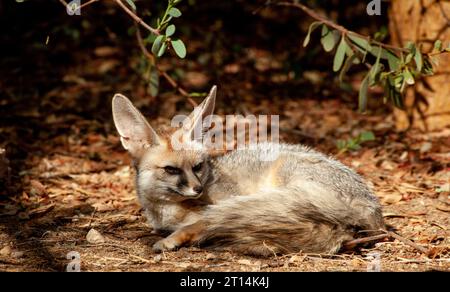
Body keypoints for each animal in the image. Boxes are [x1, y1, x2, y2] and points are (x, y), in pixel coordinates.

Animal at [111, 85, 384, 256]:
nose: (198, 189)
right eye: (171, 169)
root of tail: (372, 206)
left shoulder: (216, 208)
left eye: (198, 167)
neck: (167, 210)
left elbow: (196, 225)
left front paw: (172, 239)